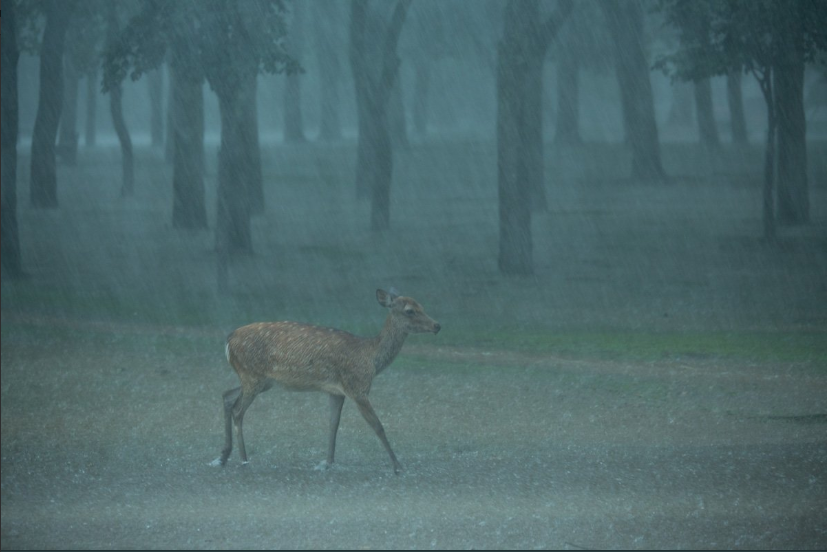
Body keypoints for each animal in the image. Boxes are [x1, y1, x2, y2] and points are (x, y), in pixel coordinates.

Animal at [217, 286, 444, 472]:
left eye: (421, 305)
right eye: (410, 310)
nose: (437, 325)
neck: (370, 358)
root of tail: (228, 340)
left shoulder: (336, 392)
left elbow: (333, 424)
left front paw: (328, 462)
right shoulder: (357, 386)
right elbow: (378, 425)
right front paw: (398, 466)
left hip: (261, 380)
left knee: (227, 396)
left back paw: (223, 456)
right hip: (252, 375)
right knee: (238, 411)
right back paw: (244, 459)